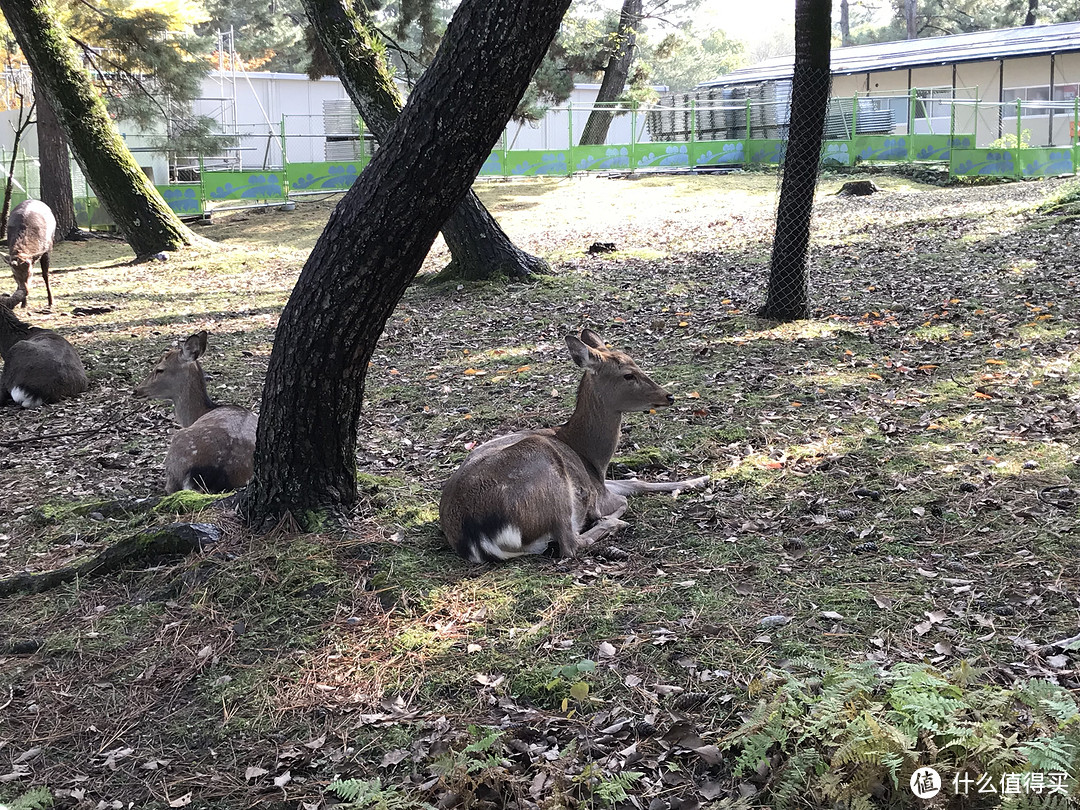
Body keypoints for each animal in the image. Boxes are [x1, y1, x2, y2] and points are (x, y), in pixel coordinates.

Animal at [438, 330, 708, 565]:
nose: (669, 396)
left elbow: (636, 482)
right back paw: (611, 524)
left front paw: (700, 479)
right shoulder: (599, 492)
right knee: (570, 544)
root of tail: (476, 537)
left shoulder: (600, 482)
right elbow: (624, 499)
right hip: (549, 481)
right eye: (628, 375)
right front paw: (602, 516)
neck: (592, 457)